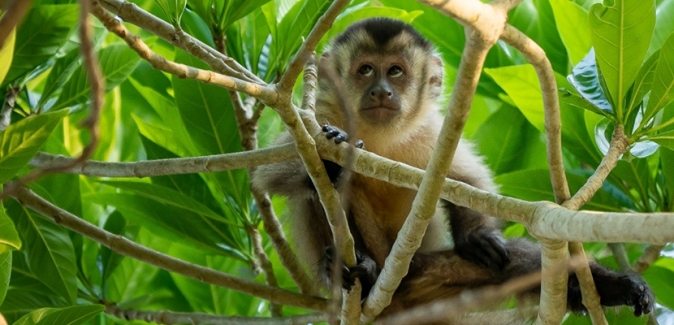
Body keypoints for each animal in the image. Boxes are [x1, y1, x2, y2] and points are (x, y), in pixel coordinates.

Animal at [249, 17, 648, 318]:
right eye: (366, 70)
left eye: (395, 71)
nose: (381, 91)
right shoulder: (317, 116)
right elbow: (267, 178)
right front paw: (332, 161)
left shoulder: (433, 131)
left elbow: (465, 181)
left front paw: (476, 235)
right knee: (319, 197)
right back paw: (346, 266)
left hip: (426, 272)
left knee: (514, 262)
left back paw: (605, 288)